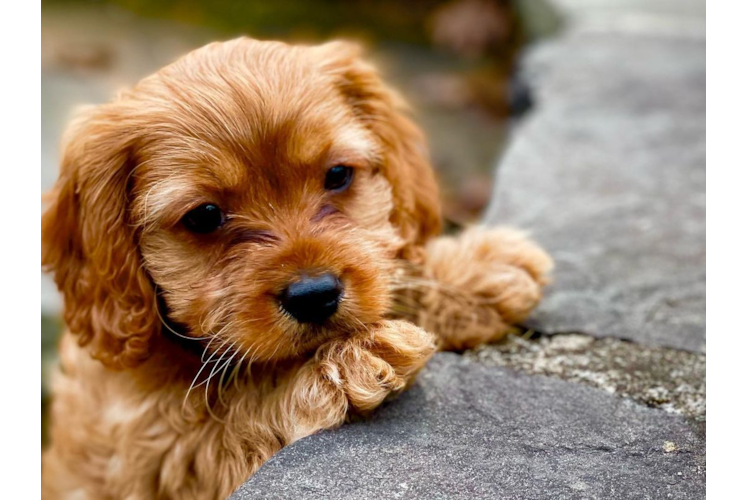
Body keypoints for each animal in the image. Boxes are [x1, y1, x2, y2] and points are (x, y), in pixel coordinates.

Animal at [42, 38, 556, 500]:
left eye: (337, 175)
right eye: (204, 216)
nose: (314, 295)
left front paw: (471, 274)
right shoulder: (161, 457)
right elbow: (239, 417)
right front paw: (344, 365)